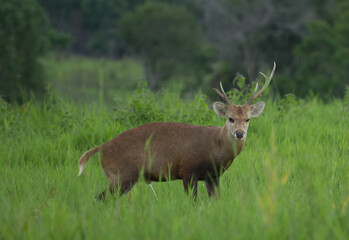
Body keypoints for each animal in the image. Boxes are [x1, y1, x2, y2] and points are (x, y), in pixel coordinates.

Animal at [78, 62, 274, 199]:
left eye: (247, 119)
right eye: (230, 118)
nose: (239, 133)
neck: (216, 147)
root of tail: (102, 147)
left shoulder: (213, 176)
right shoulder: (188, 170)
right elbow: (193, 202)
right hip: (120, 176)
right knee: (99, 199)